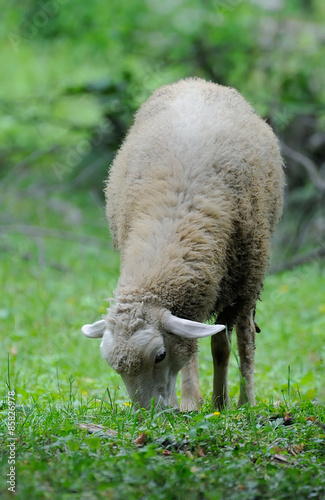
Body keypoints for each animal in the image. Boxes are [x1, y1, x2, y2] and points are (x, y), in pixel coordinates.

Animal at [81, 77, 284, 410]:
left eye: (160, 355)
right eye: (114, 366)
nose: (147, 415)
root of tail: (196, 81)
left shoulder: (244, 284)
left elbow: (228, 345)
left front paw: (230, 403)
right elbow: (196, 348)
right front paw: (195, 401)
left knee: (239, 338)